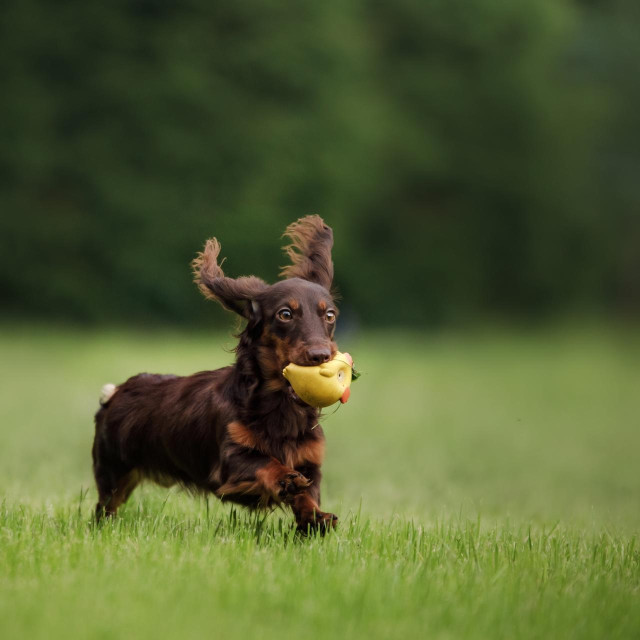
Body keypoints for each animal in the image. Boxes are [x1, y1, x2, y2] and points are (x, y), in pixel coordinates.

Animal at [92, 215, 340, 528]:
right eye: (285, 314)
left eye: (330, 315)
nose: (320, 356)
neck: (281, 410)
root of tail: (115, 393)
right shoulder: (230, 463)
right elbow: (265, 463)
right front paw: (285, 478)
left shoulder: (311, 460)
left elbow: (308, 493)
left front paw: (316, 517)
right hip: (114, 471)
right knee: (104, 506)